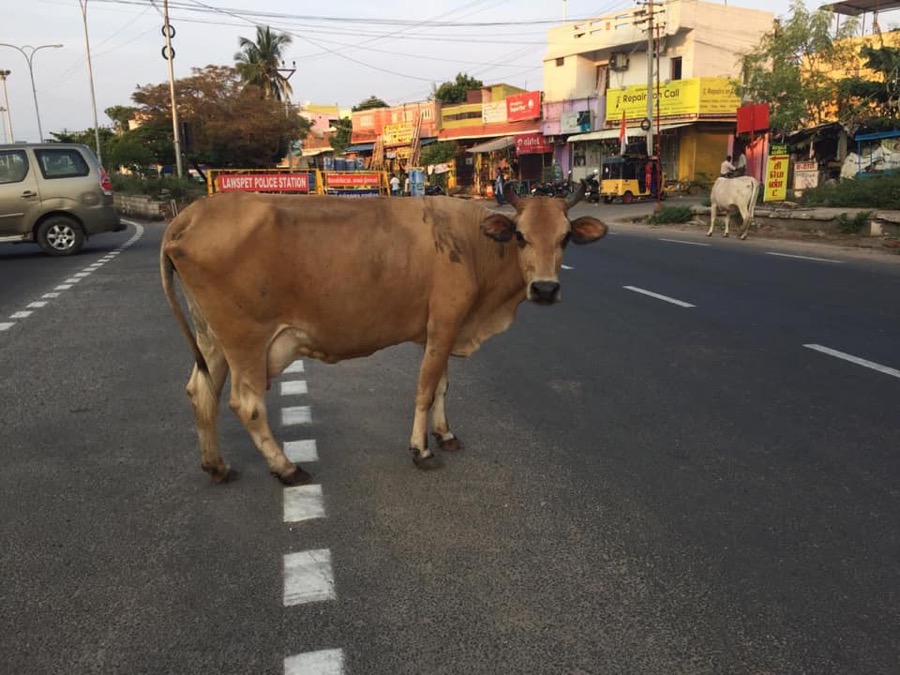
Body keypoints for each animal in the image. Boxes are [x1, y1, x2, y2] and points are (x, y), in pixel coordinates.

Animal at [160, 184, 608, 486]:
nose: (546, 289)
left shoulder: (441, 331)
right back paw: (285, 467)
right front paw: (421, 449)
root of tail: (194, 212)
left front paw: (445, 434)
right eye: (520, 235)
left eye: (566, 237)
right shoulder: (444, 323)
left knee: (201, 392)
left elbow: (442, 386)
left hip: (212, 340)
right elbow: (425, 389)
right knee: (246, 404)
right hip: (246, 342)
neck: (472, 243)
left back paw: (217, 466)